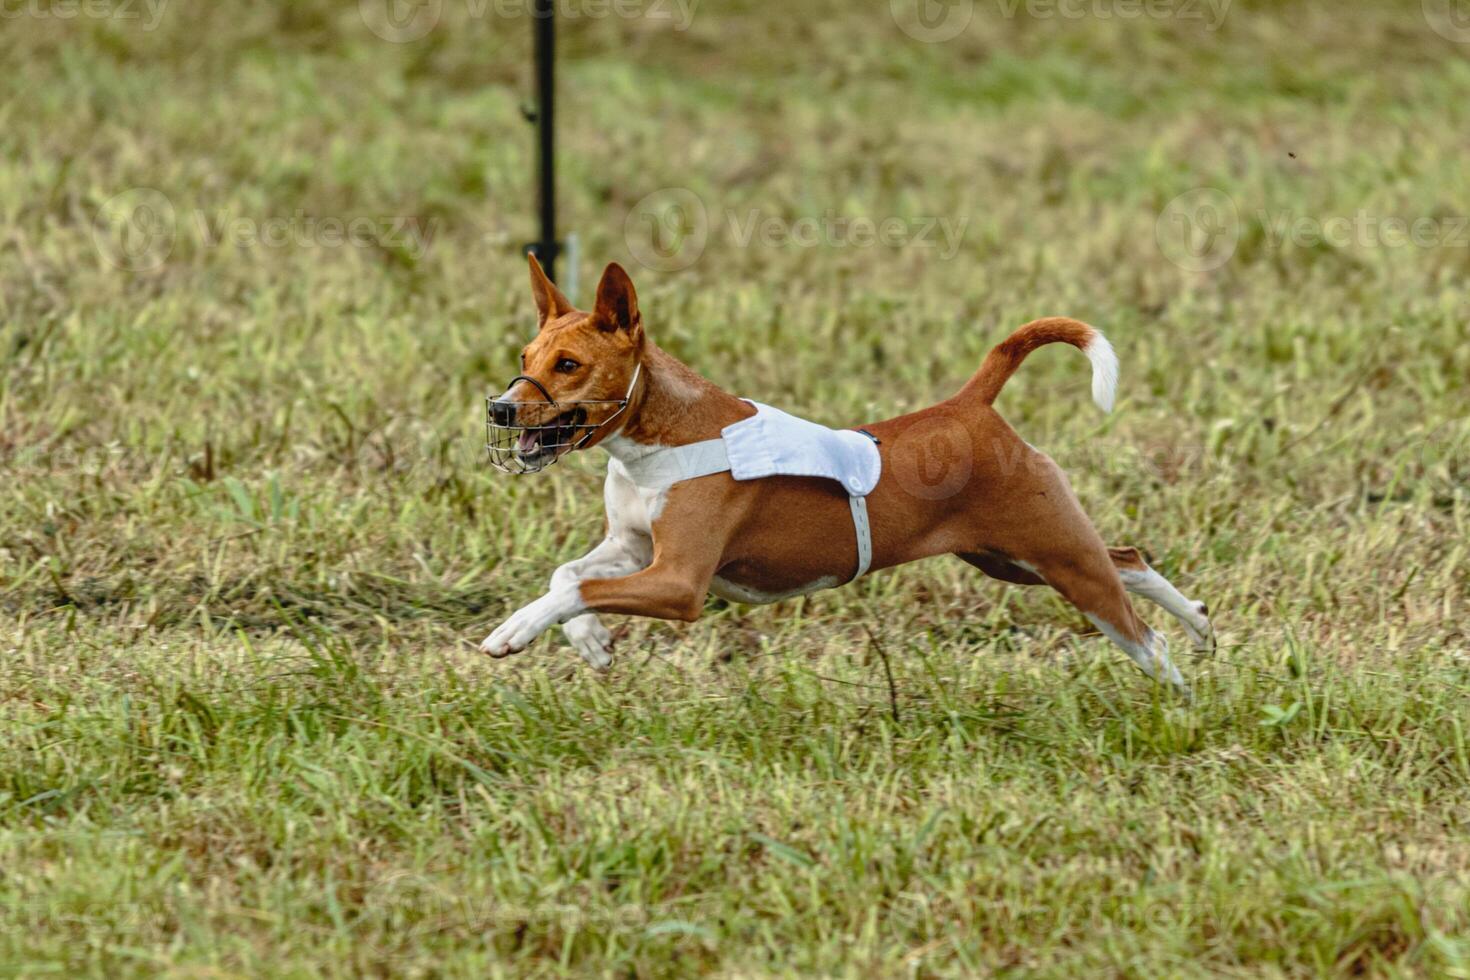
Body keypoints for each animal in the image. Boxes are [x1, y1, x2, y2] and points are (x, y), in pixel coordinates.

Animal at [476, 257, 1211, 693]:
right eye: (526, 355)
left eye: (569, 364)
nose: (500, 408)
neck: (657, 443)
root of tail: (969, 405)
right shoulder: (633, 546)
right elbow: (567, 577)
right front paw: (591, 643)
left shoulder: (679, 582)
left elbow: (579, 588)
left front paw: (515, 630)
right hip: (1011, 558)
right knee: (1129, 560)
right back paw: (1200, 624)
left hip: (1053, 553)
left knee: (1140, 631)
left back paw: (1176, 695)